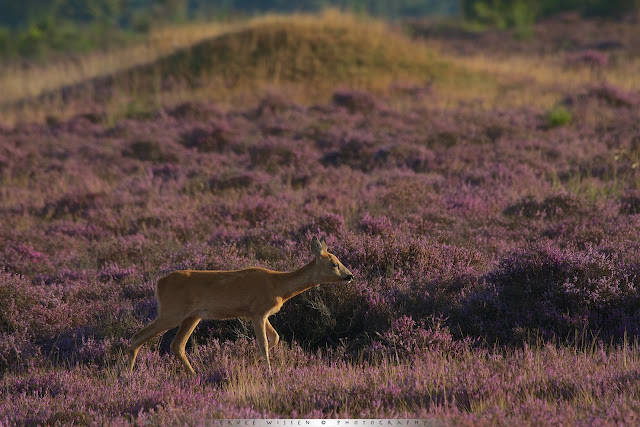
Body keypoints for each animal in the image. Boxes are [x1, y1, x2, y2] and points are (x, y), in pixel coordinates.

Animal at [127, 237, 352, 374]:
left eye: (339, 260)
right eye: (334, 263)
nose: (350, 276)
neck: (278, 286)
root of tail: (159, 283)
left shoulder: (259, 314)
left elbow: (275, 338)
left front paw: (247, 365)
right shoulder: (258, 311)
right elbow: (264, 343)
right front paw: (270, 373)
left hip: (192, 316)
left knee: (177, 345)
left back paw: (195, 374)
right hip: (171, 312)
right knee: (137, 337)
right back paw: (128, 375)